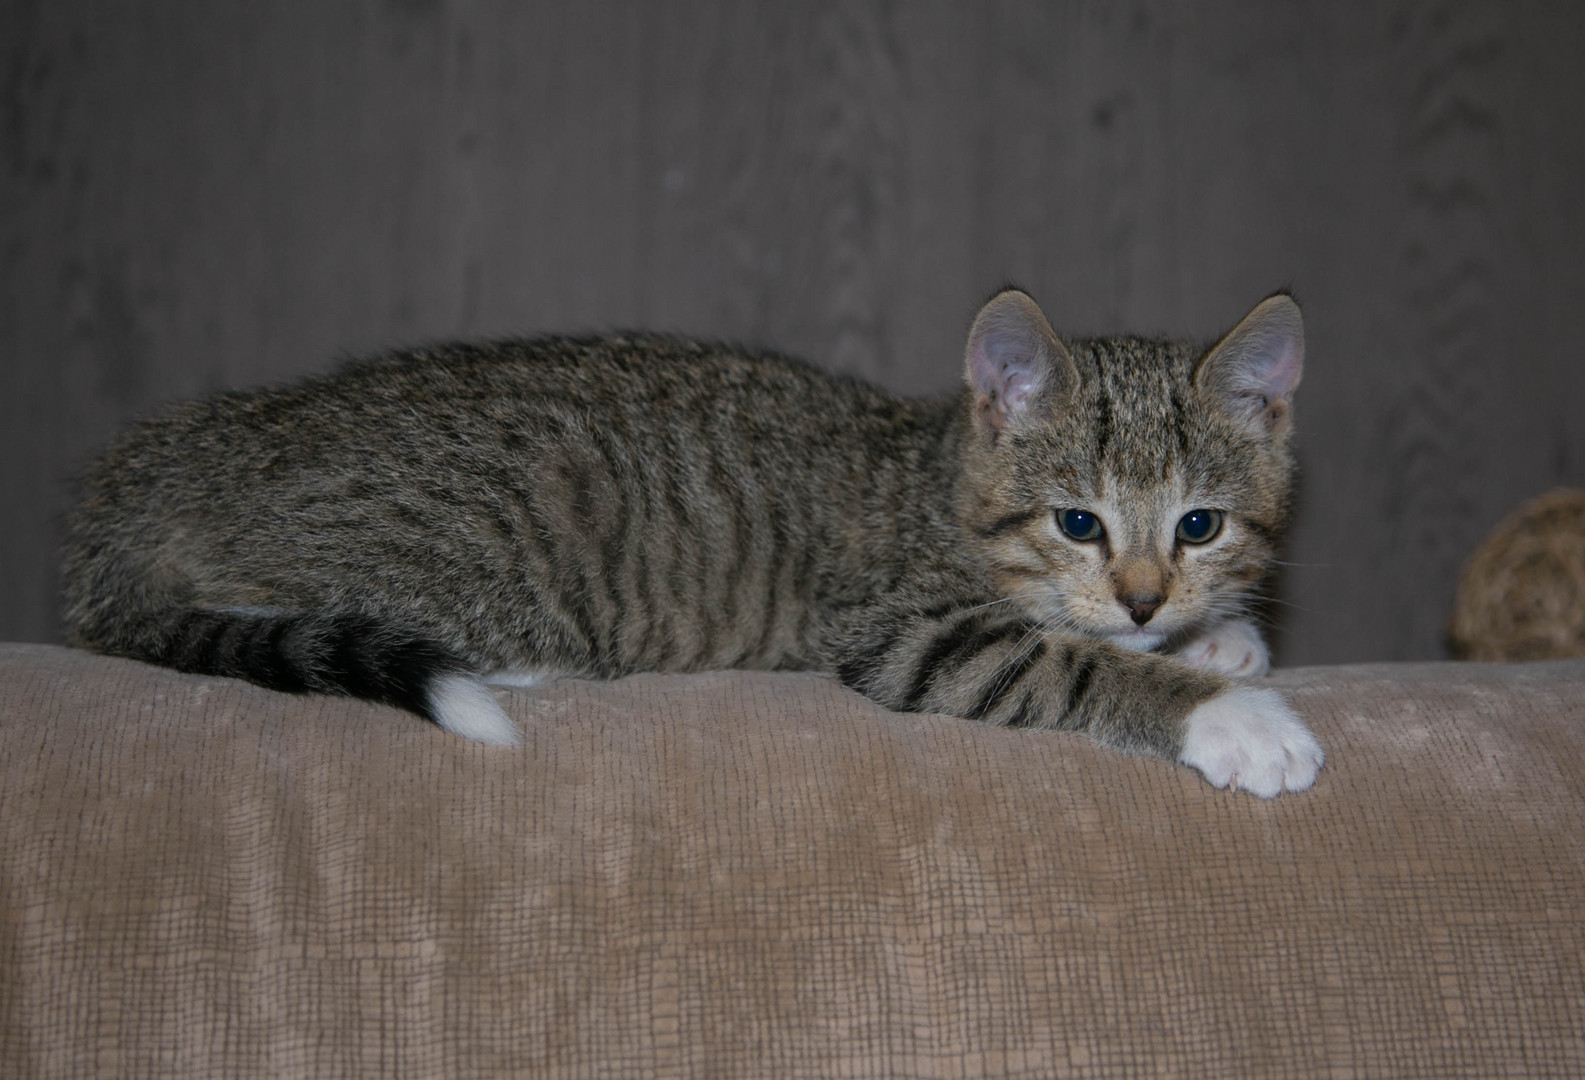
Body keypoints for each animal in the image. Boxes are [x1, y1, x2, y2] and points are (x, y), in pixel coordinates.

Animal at [61, 290, 1325, 796]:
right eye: (1077, 521)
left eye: (1198, 525)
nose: (1146, 601)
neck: (936, 473)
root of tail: (157, 469)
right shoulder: (901, 627)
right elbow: (1057, 659)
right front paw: (1229, 713)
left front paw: (1219, 641)